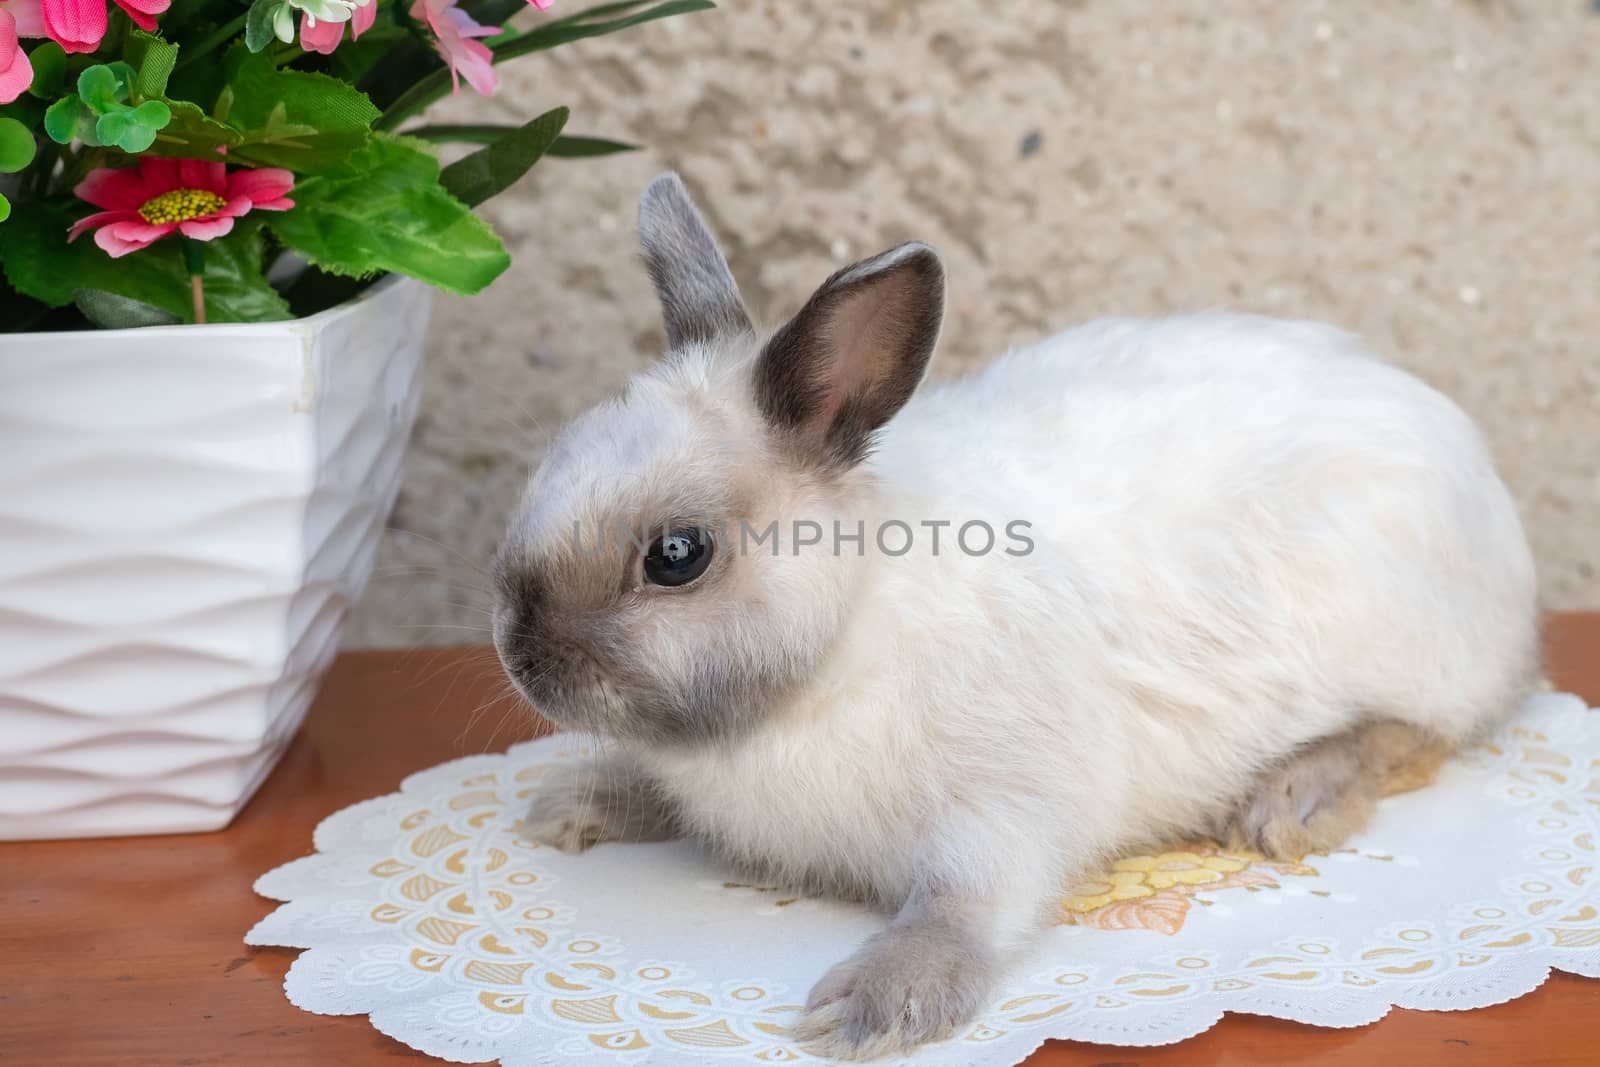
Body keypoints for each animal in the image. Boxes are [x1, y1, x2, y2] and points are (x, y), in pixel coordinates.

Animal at [489, 173, 1536, 1062]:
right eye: (546, 463)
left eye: (680, 554)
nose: (520, 657)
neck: (840, 647)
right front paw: (572, 805)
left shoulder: (1006, 808)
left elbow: (966, 903)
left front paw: (877, 1003)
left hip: (1407, 644)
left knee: (1423, 731)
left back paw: (1294, 799)